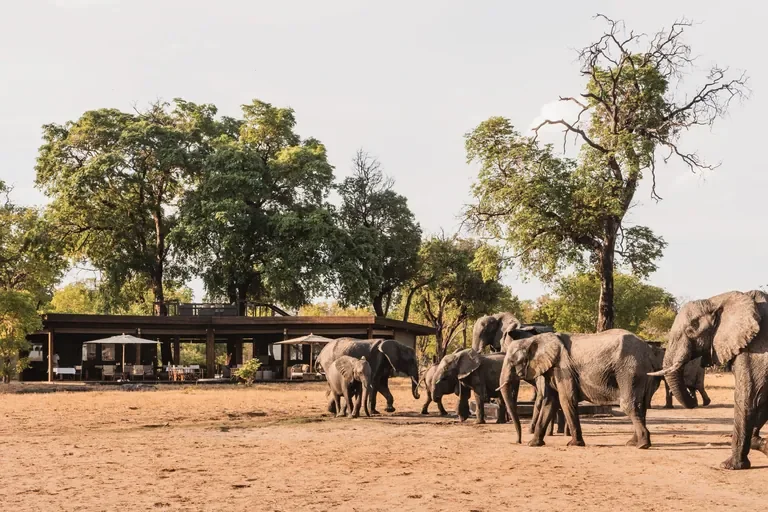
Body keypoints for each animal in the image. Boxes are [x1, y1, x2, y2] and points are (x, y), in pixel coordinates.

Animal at [502, 330, 660, 448]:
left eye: (512, 361)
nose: (518, 442)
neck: (534, 339)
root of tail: (649, 352)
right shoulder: (552, 369)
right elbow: (550, 402)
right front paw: (533, 444)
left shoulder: (563, 368)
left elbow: (566, 399)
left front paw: (573, 444)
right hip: (643, 374)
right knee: (642, 405)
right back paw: (633, 443)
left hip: (629, 370)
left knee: (629, 404)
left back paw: (642, 445)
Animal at [650, 290, 768, 470]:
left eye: (690, 330)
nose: (693, 401)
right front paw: (764, 445)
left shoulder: (756, 349)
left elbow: (751, 398)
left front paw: (729, 466)